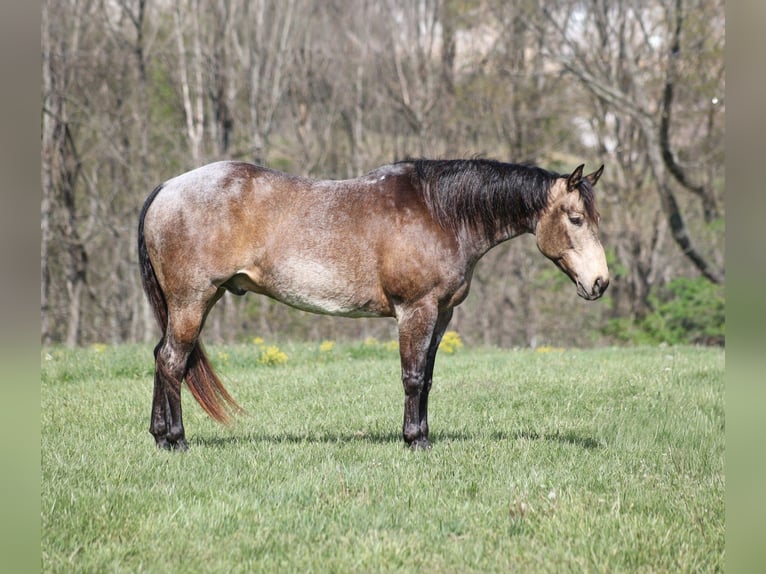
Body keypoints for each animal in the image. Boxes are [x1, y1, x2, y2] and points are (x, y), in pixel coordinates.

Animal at [138, 158, 608, 450]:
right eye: (576, 219)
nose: (600, 282)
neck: (440, 213)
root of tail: (166, 188)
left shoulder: (442, 314)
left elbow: (428, 378)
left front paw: (423, 435)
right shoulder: (416, 309)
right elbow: (413, 377)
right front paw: (414, 440)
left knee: (162, 357)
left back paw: (160, 436)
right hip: (192, 301)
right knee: (173, 361)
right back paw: (176, 440)